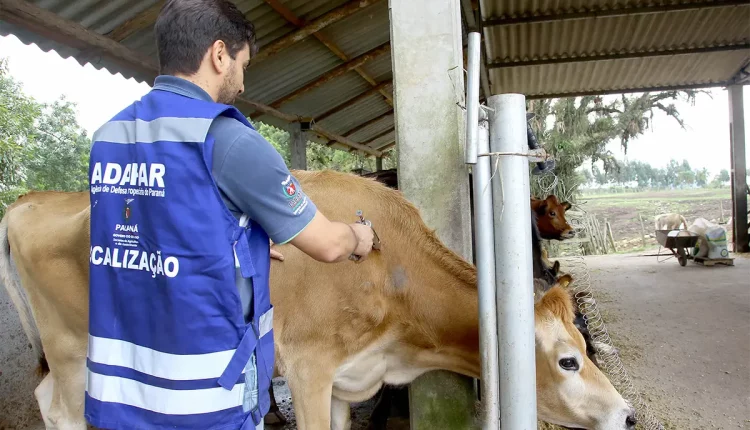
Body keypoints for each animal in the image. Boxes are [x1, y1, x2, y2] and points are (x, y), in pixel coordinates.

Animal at [0, 169, 636, 430]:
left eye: (587, 348)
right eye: (568, 361)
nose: (628, 415)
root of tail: (33, 200)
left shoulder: (344, 378)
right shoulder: (308, 367)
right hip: (70, 345)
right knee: (62, 409)